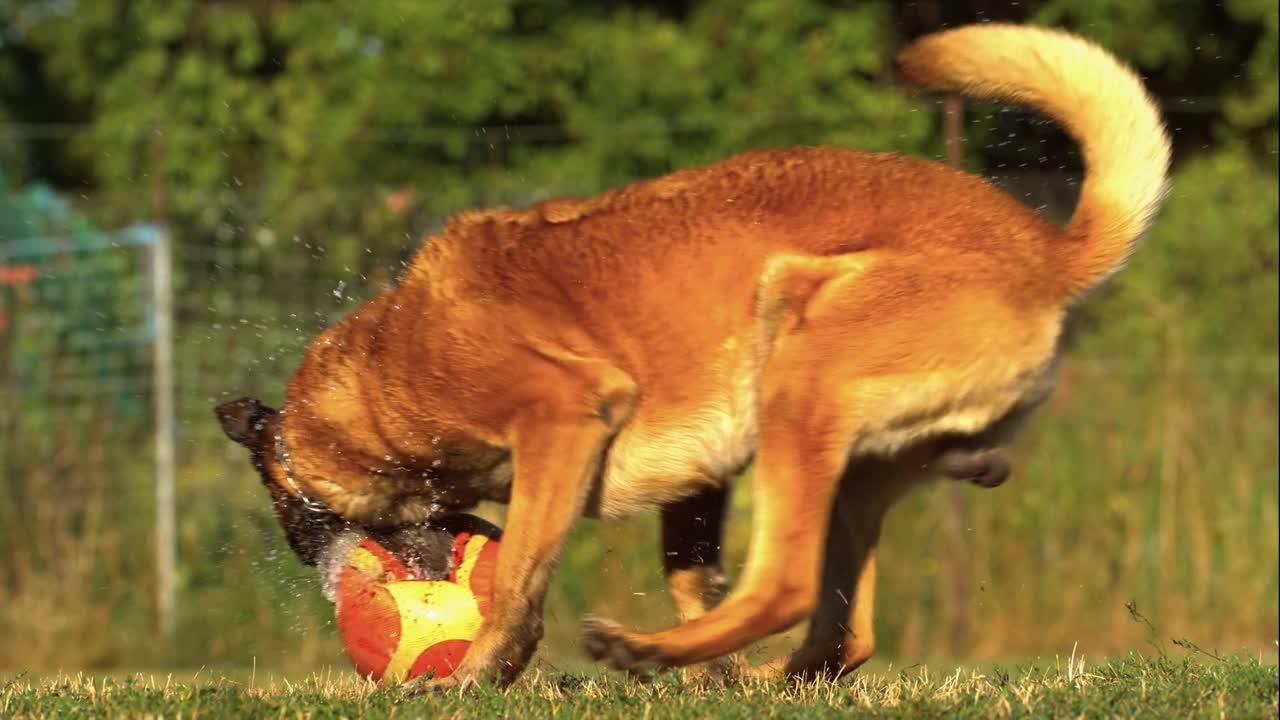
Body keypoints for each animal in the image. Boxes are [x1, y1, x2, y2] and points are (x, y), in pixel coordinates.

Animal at [212, 23, 1172, 691]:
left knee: (788, 587)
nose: (326, 584)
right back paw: (750, 673)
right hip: (843, 455)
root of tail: (1049, 251)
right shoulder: (698, 474)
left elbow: (519, 577)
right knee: (843, 630)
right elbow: (686, 570)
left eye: (293, 515)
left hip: (799, 354)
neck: (383, 368)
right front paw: (708, 673)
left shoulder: (562, 415)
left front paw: (476, 676)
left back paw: (640, 649)